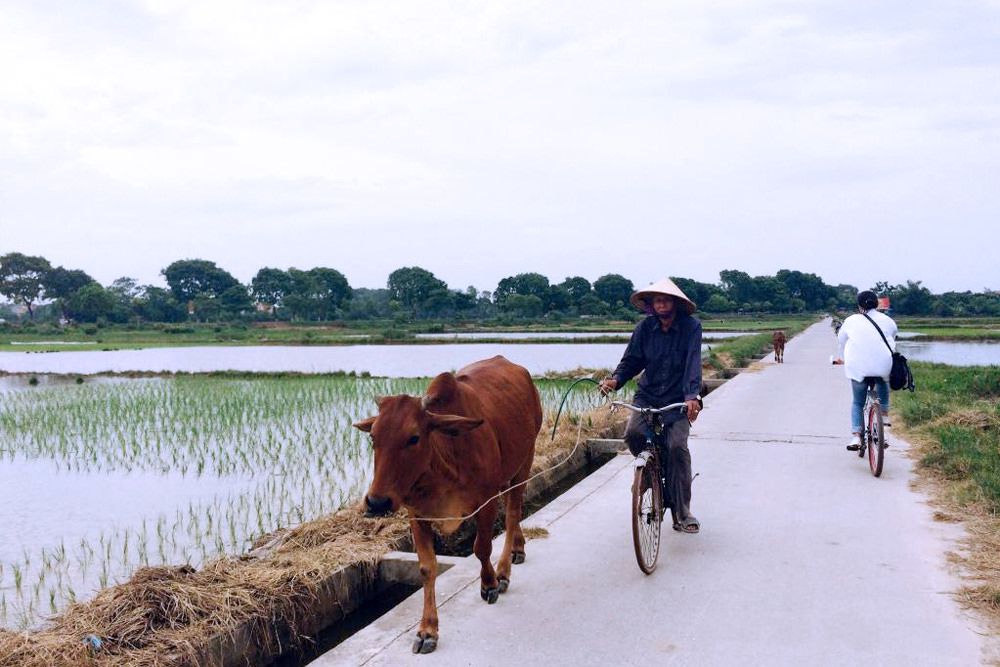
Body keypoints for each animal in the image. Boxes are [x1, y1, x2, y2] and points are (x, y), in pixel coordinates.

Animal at [352, 358, 540, 656]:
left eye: (414, 437)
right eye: (373, 437)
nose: (377, 502)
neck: (444, 465)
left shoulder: (486, 501)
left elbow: (481, 547)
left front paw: (489, 584)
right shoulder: (416, 515)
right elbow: (427, 568)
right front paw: (427, 630)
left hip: (524, 463)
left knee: (512, 516)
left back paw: (504, 570)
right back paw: (517, 550)